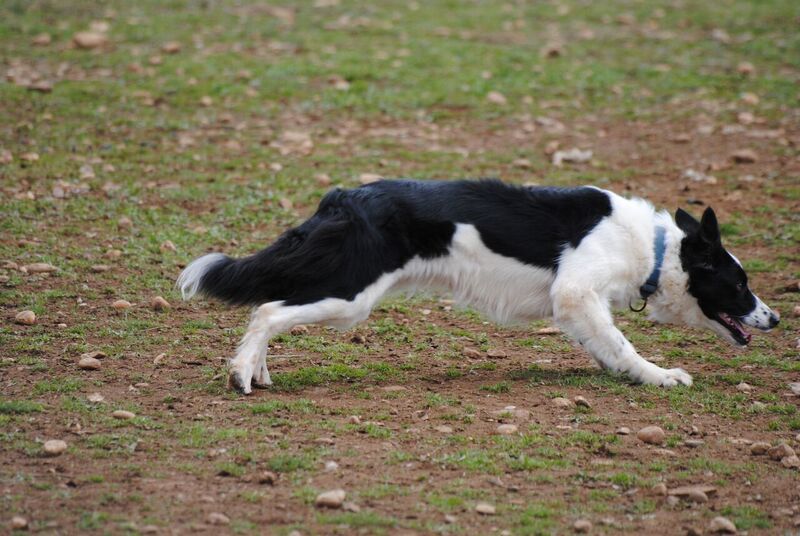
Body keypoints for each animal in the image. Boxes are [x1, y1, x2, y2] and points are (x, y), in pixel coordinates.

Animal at [178, 180, 780, 394]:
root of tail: (346, 197)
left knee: (269, 305)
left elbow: (605, 343)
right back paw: (242, 374)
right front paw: (657, 376)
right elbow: (622, 343)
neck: (652, 248)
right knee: (267, 310)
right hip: (352, 298)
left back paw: (257, 370)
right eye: (739, 283)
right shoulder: (574, 294)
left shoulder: (578, 307)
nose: (774, 318)